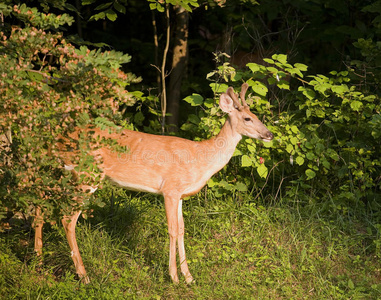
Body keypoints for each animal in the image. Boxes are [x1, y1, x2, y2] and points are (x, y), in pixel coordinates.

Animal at [31, 82, 270, 284]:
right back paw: (84, 275)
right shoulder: (170, 189)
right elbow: (172, 230)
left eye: (256, 115)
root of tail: (58, 138)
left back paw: (38, 259)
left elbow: (182, 229)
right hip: (86, 174)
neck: (202, 157)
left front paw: (189, 277)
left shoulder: (180, 194)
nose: (268, 134)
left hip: (64, 171)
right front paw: (174, 277)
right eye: (247, 119)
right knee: (67, 219)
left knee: (41, 197)